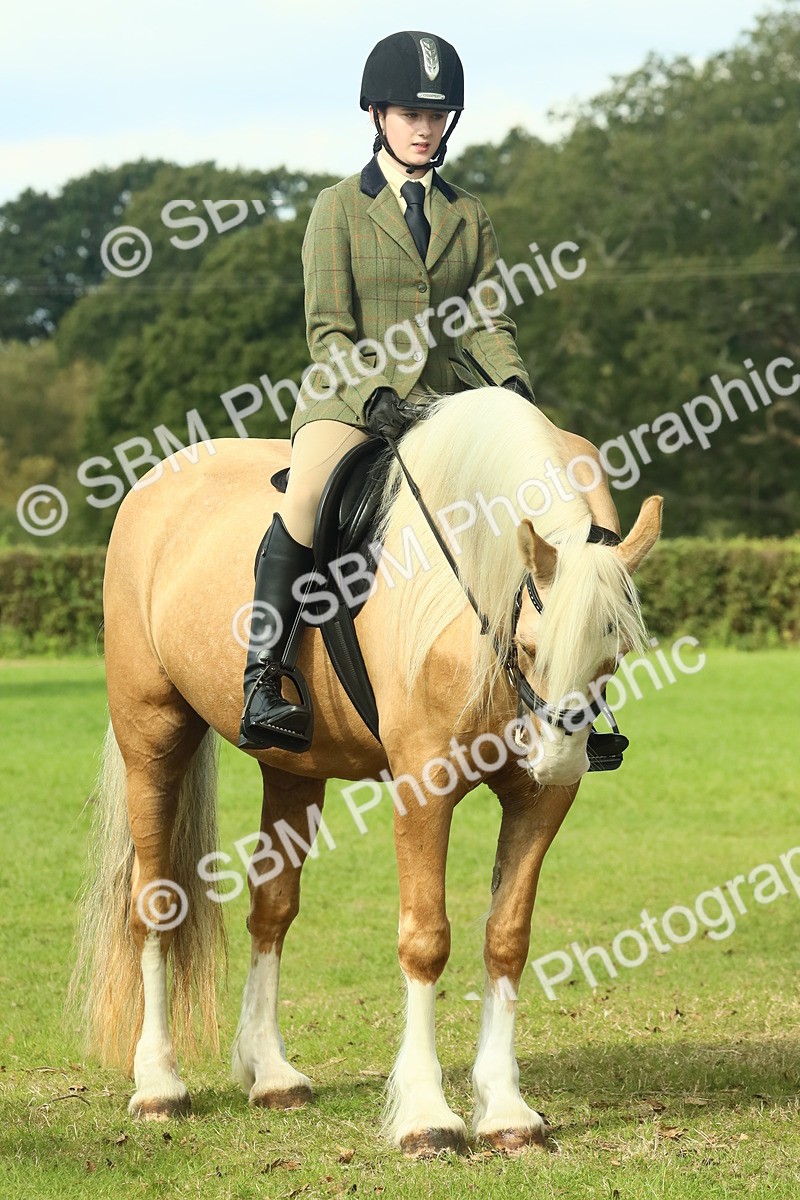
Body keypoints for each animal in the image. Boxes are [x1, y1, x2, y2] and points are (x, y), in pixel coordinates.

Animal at [70, 388, 662, 1157]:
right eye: (529, 646)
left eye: (614, 652)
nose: (556, 761)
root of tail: (153, 484)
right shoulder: (424, 786)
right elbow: (426, 940)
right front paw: (426, 1116)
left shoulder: (538, 805)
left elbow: (507, 939)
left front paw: (506, 1110)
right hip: (152, 736)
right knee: (154, 902)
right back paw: (159, 1084)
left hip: (291, 767)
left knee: (272, 906)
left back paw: (272, 1074)